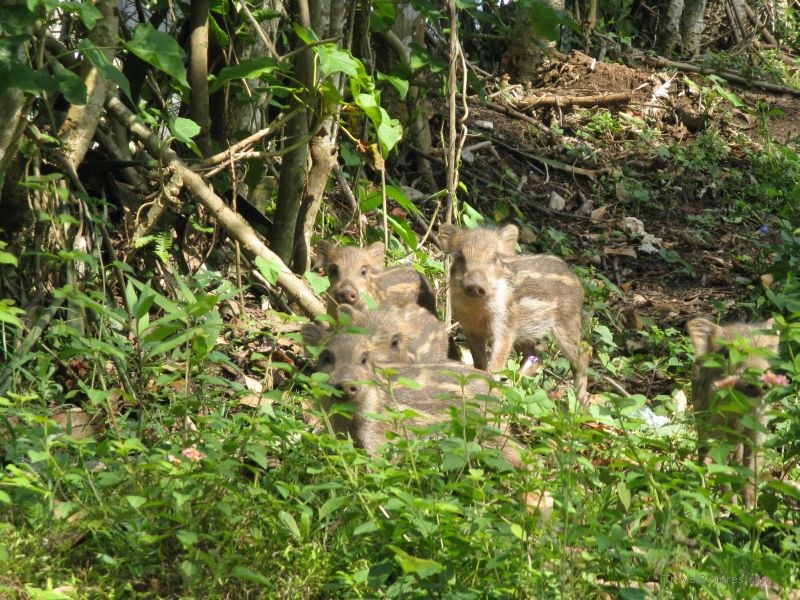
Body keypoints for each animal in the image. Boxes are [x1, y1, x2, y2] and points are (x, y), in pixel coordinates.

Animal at [439, 223, 588, 405]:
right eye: (460, 256)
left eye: (495, 257)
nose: (475, 285)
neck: (478, 309)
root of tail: (578, 281)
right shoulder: (471, 329)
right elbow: (480, 361)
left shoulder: (504, 324)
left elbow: (496, 363)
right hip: (525, 332)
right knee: (534, 357)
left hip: (567, 322)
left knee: (582, 357)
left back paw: (581, 404)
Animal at [686, 317, 779, 507]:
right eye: (727, 353)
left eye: (766, 352)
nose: (758, 381)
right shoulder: (717, 434)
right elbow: (723, 471)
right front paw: (729, 508)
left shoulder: (758, 433)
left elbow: (752, 473)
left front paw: (751, 509)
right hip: (701, 422)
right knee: (703, 454)